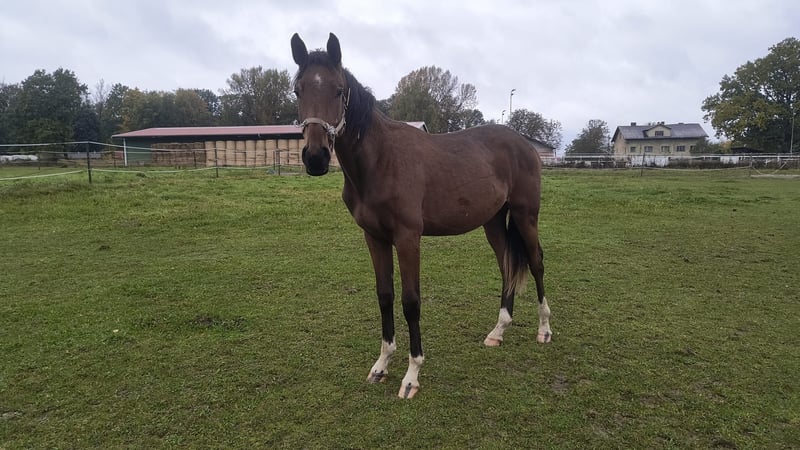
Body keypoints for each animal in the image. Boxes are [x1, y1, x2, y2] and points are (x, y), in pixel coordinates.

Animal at [290, 33, 552, 399]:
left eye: (339, 90)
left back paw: (544, 329)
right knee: (507, 266)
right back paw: (498, 332)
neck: (381, 160)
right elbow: (385, 296)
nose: (315, 157)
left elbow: (410, 301)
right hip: (493, 222)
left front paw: (412, 376)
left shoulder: (407, 238)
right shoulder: (374, 238)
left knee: (537, 262)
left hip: (526, 215)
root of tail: (525, 144)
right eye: (298, 90)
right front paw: (381, 366)